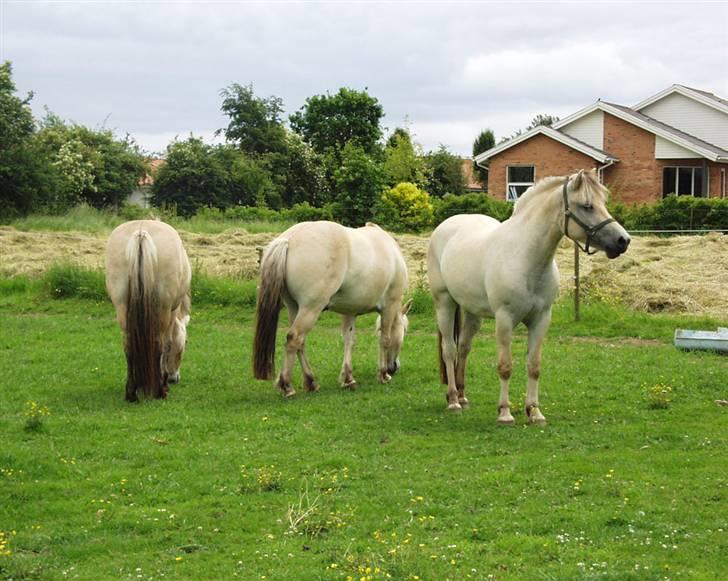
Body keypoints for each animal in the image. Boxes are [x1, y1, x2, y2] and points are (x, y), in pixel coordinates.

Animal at [105, 220, 192, 402]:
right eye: (185, 343)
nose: (174, 378)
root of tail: (141, 232)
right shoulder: (172, 312)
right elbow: (167, 345)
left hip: (122, 307)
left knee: (128, 345)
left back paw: (131, 392)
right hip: (164, 310)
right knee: (160, 344)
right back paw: (160, 390)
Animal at [252, 220, 410, 396]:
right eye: (405, 330)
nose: (394, 367)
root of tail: (289, 239)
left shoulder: (350, 311)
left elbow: (349, 341)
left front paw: (348, 379)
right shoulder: (390, 306)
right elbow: (385, 339)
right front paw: (383, 375)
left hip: (294, 308)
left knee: (300, 343)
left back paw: (311, 382)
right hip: (310, 309)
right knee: (294, 339)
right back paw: (287, 386)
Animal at [430, 170, 628, 424]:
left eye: (603, 202)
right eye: (587, 206)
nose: (623, 240)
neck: (525, 256)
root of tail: (446, 226)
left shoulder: (541, 319)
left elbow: (534, 366)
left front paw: (534, 411)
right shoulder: (505, 319)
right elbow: (505, 366)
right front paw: (505, 412)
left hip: (472, 312)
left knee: (464, 348)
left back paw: (463, 397)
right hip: (444, 303)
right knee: (450, 349)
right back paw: (453, 399)